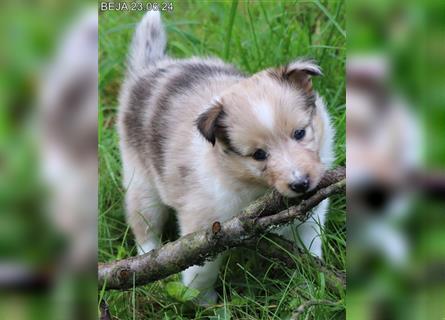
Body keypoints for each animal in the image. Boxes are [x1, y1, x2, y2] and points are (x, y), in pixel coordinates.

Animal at [118, 11, 332, 304]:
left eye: (300, 133)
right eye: (258, 155)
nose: (301, 184)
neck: (256, 189)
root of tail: (150, 68)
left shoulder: (310, 216)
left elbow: (309, 249)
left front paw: (311, 286)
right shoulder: (206, 225)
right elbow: (200, 271)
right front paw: (203, 302)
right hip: (140, 180)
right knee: (144, 226)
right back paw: (147, 263)